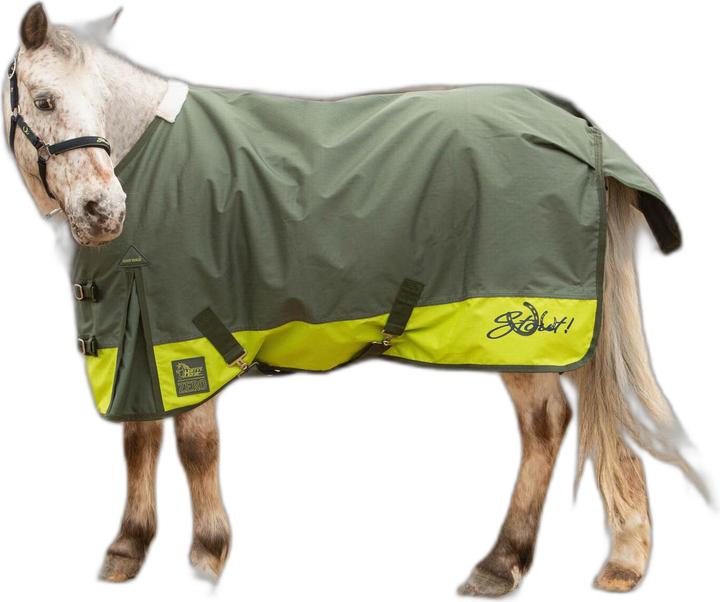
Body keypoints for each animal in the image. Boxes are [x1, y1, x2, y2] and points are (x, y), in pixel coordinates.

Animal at [2, 4, 707, 595]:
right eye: (44, 99)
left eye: (98, 100)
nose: (104, 210)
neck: (148, 155)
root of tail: (578, 128)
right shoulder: (137, 331)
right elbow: (139, 438)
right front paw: (128, 549)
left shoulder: (187, 330)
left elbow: (196, 445)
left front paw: (207, 556)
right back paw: (605, 560)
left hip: (530, 333)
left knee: (549, 423)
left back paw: (513, 562)